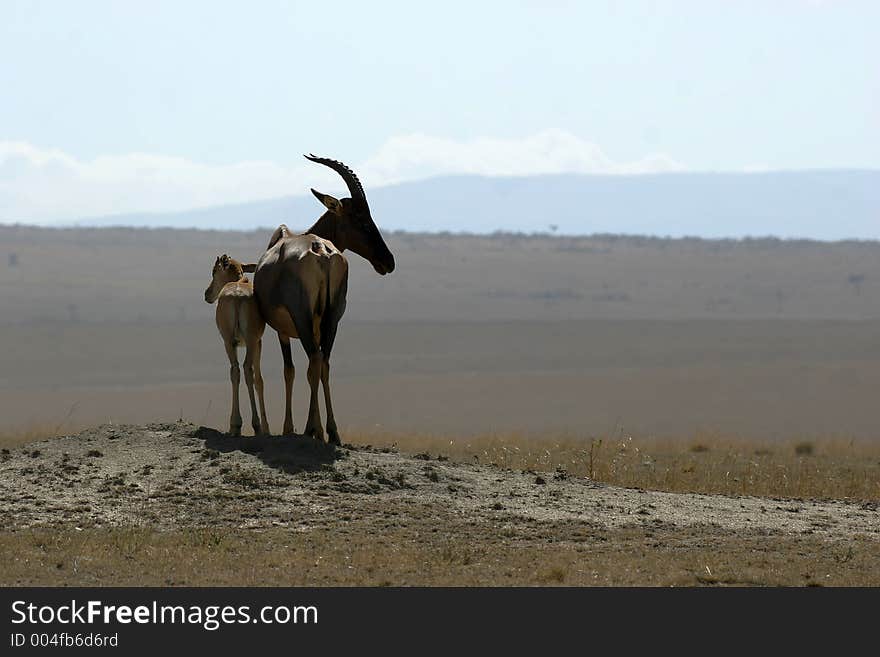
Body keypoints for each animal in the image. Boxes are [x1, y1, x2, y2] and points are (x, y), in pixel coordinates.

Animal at [205, 255, 270, 436]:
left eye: (214, 271)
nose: (207, 294)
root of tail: (237, 295)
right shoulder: (257, 342)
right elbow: (259, 380)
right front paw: (266, 428)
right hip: (249, 342)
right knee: (247, 370)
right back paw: (254, 425)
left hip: (230, 342)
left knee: (236, 370)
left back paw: (236, 425)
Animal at [253, 152, 394, 446]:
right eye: (361, 218)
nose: (388, 261)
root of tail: (321, 250)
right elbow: (307, 370)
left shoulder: (283, 329)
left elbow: (290, 370)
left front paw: (290, 428)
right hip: (333, 318)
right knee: (324, 362)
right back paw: (332, 431)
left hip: (303, 318)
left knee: (314, 361)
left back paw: (315, 429)